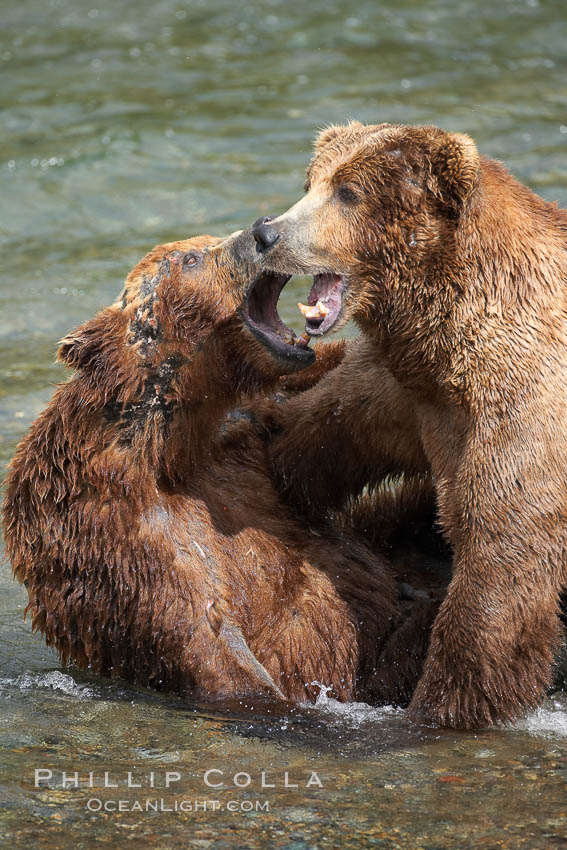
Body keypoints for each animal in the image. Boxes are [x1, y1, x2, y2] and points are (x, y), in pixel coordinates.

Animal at [1, 230, 440, 704]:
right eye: (191, 258)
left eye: (210, 240)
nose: (259, 231)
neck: (178, 444)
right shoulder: (118, 521)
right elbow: (203, 627)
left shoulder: (262, 426)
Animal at [247, 119, 567, 728]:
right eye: (311, 181)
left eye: (348, 192)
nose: (266, 233)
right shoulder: (415, 392)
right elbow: (335, 420)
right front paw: (269, 442)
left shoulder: (526, 410)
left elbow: (501, 564)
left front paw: (441, 706)